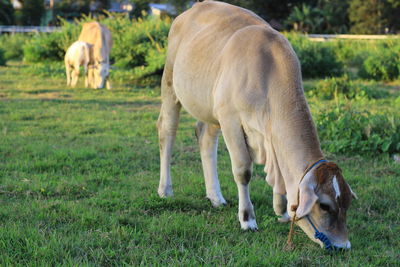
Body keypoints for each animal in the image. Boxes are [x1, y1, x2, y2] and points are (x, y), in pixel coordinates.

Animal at [156, 1, 356, 250]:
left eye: (346, 203)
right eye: (325, 205)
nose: (343, 246)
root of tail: (192, 9)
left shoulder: (264, 133)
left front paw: (282, 212)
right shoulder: (231, 120)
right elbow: (243, 171)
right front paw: (247, 219)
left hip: (212, 107)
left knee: (204, 137)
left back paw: (216, 197)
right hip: (171, 83)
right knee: (167, 131)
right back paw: (165, 189)